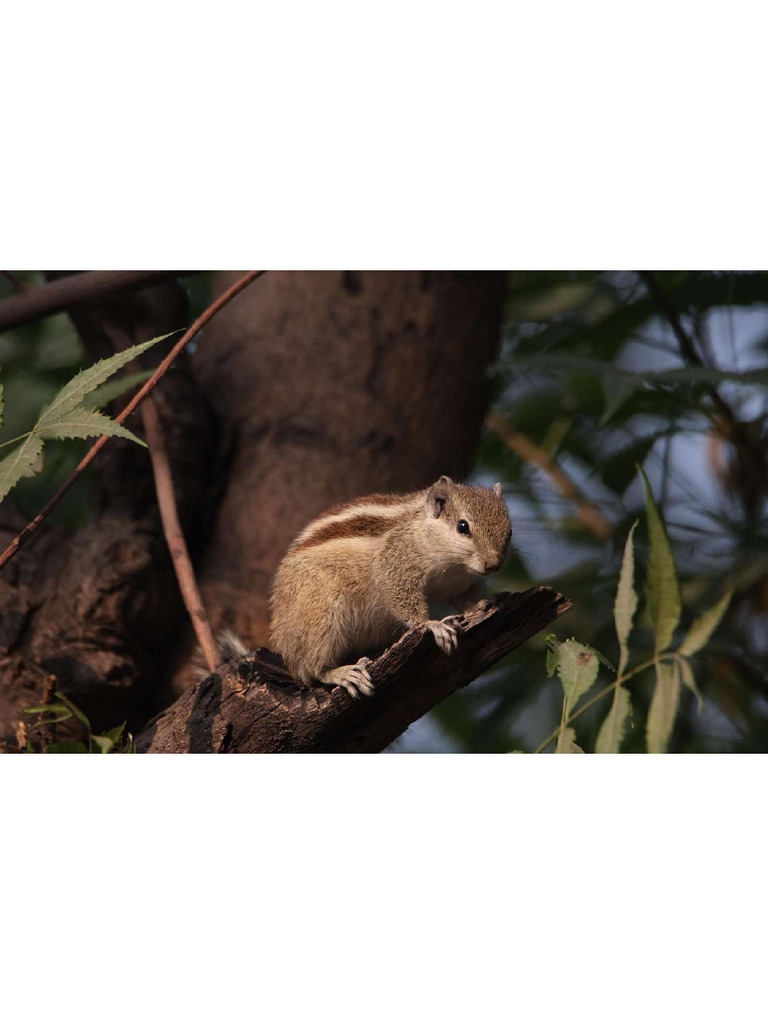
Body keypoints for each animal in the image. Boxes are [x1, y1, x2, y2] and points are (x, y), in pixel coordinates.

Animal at [263, 475, 512, 699]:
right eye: (462, 527)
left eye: (509, 532)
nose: (494, 564)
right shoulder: (395, 565)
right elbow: (401, 596)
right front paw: (432, 625)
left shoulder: (460, 583)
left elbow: (464, 599)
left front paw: (481, 604)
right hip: (319, 611)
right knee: (312, 668)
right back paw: (342, 673)